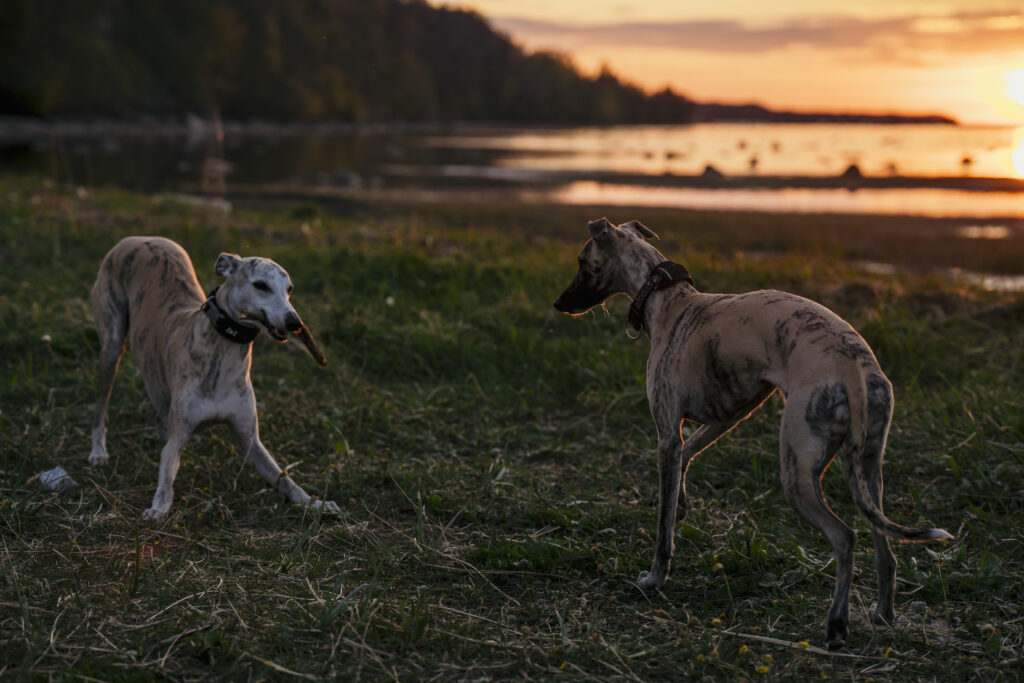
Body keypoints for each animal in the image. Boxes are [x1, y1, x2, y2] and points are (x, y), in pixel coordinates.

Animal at [88, 237, 335, 520]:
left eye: (290, 289)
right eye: (261, 285)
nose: (295, 322)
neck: (225, 352)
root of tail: (137, 239)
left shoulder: (251, 441)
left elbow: (284, 478)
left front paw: (316, 503)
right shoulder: (177, 438)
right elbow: (167, 473)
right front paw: (158, 506)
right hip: (111, 346)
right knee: (101, 405)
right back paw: (98, 450)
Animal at [552, 218, 950, 647]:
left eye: (583, 262)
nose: (559, 304)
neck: (668, 299)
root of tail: (853, 366)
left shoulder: (667, 432)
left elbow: (663, 528)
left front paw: (655, 578)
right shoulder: (726, 416)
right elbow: (687, 457)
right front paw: (683, 501)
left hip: (797, 471)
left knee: (846, 538)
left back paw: (837, 624)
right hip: (867, 468)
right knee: (885, 549)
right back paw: (884, 615)